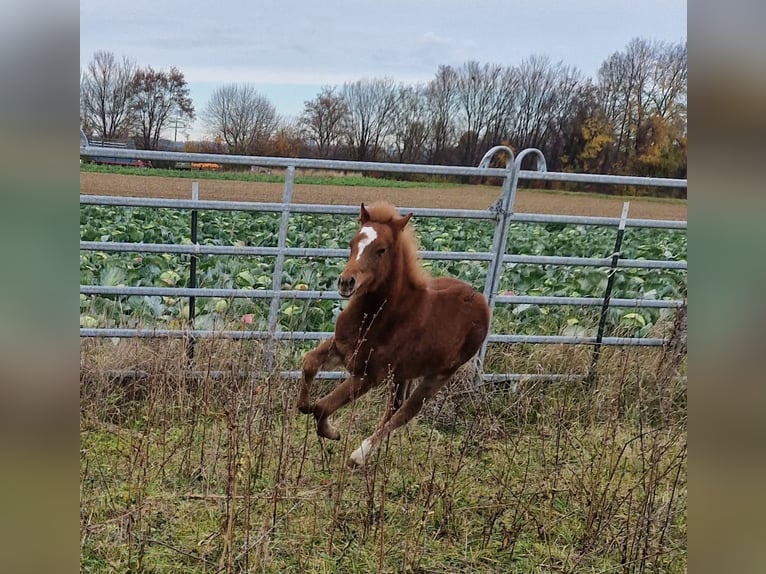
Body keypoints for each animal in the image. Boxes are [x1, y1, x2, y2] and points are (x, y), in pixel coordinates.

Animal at [298, 201, 491, 468]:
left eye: (381, 250)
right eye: (351, 243)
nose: (346, 282)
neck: (379, 316)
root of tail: (481, 300)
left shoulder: (369, 375)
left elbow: (324, 407)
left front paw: (333, 432)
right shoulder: (341, 347)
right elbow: (308, 364)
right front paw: (305, 405)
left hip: (439, 374)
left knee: (407, 411)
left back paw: (359, 456)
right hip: (402, 372)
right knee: (395, 406)